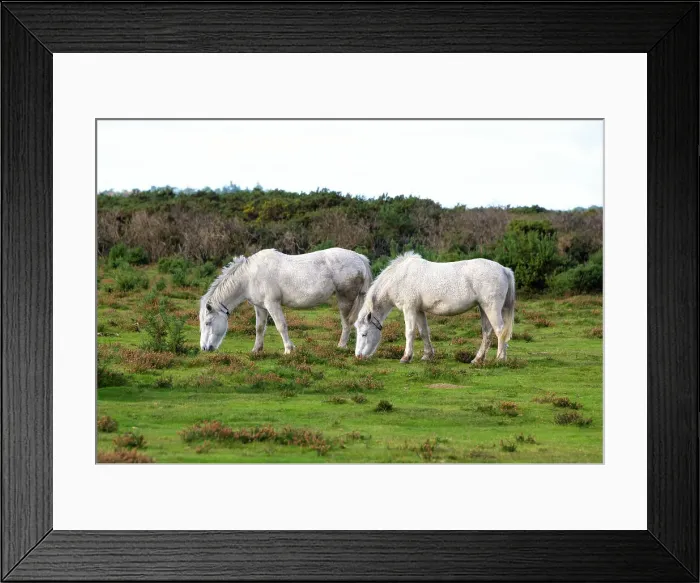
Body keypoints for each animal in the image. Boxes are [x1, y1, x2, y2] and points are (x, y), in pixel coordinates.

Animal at [199, 248, 372, 353]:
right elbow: (259, 328)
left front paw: (289, 349)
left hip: (345, 299)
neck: (250, 276)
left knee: (347, 322)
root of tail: (359, 258)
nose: (204, 348)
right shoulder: (260, 307)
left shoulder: (272, 304)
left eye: (208, 323)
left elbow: (281, 326)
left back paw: (341, 346)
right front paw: (256, 349)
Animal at [354, 251, 516, 363]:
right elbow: (424, 332)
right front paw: (427, 355)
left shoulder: (409, 309)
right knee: (487, 333)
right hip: (483, 308)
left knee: (500, 331)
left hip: (491, 308)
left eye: (364, 334)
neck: (400, 278)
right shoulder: (419, 310)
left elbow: (410, 332)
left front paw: (406, 357)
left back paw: (500, 358)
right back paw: (477, 359)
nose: (358, 356)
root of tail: (503, 269)